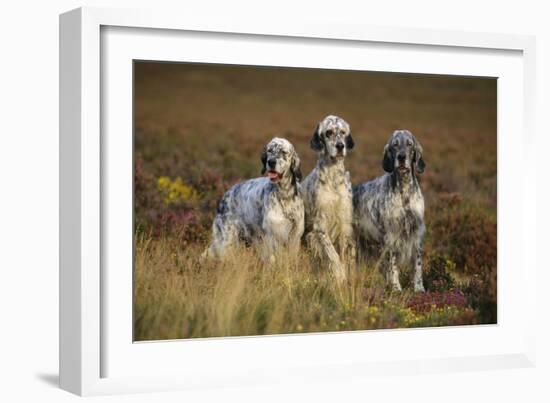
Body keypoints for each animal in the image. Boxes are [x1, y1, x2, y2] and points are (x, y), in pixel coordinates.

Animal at [302, 115, 358, 282]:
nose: (340, 146)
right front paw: (340, 274)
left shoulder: (345, 223)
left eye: (343, 132)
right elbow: (333, 255)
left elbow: (345, 255)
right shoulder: (320, 226)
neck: (333, 177)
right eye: (329, 132)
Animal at [356, 131, 430, 292]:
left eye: (409, 144)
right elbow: (393, 265)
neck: (404, 191)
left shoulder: (416, 232)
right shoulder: (391, 234)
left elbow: (417, 265)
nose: (401, 157)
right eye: (395, 145)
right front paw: (396, 287)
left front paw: (419, 287)